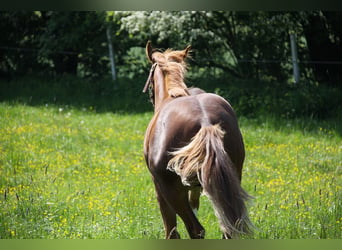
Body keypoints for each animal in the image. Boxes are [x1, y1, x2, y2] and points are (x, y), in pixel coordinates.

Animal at [142, 42, 251, 239]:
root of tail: (205, 121)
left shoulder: (160, 188)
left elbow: (171, 229)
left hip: (172, 191)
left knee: (195, 229)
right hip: (231, 181)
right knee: (228, 228)